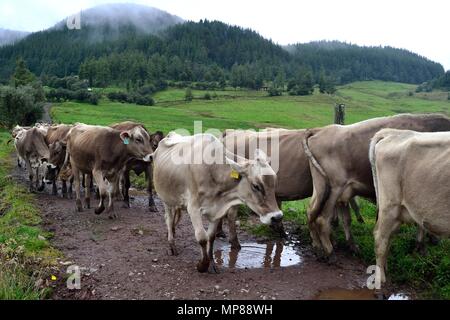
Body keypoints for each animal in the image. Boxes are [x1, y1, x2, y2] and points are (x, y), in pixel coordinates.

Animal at [155, 132, 282, 272]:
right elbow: (202, 237)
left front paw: (211, 262)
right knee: (169, 219)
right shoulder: (193, 208)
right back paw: (172, 245)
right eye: (256, 186)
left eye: (274, 183)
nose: (277, 217)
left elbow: (211, 236)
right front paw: (202, 265)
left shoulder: (217, 209)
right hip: (166, 199)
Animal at [302, 113, 450, 260]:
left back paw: (324, 246)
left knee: (313, 213)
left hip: (325, 188)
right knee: (322, 219)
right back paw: (330, 251)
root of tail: (320, 130)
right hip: (335, 188)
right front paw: (423, 246)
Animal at [370, 129, 450, 284]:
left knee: (389, 236)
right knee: (380, 238)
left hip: (398, 212)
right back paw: (380, 277)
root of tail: (392, 132)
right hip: (390, 206)